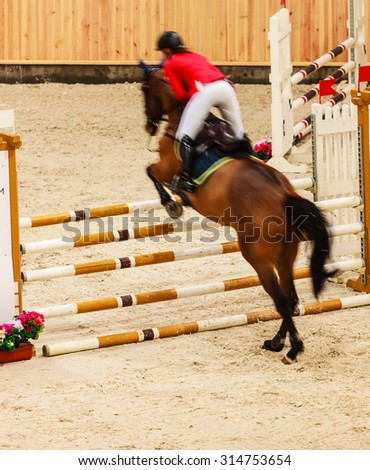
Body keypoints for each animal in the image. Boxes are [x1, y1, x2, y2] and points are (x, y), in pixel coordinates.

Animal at [138, 60, 332, 366]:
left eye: (144, 89)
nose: (149, 124)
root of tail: (286, 197)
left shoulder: (166, 167)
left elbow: (152, 172)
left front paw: (172, 204)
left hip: (257, 256)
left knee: (281, 299)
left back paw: (292, 348)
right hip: (285, 256)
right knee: (289, 299)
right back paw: (277, 342)